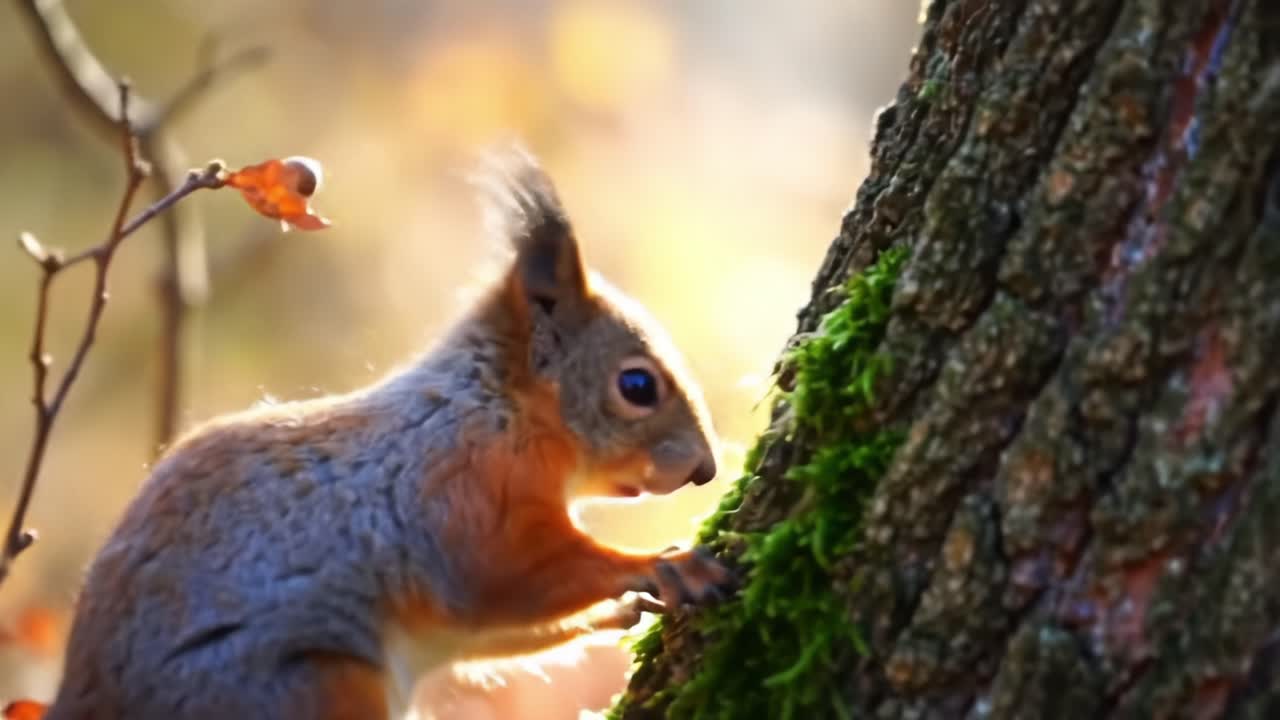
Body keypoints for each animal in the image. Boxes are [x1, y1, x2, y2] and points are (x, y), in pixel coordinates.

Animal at [40, 148, 733, 720]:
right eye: (637, 385)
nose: (706, 469)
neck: (499, 410)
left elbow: (500, 633)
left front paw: (626, 609)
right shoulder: (461, 493)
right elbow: (511, 578)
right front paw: (661, 566)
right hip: (314, 688)